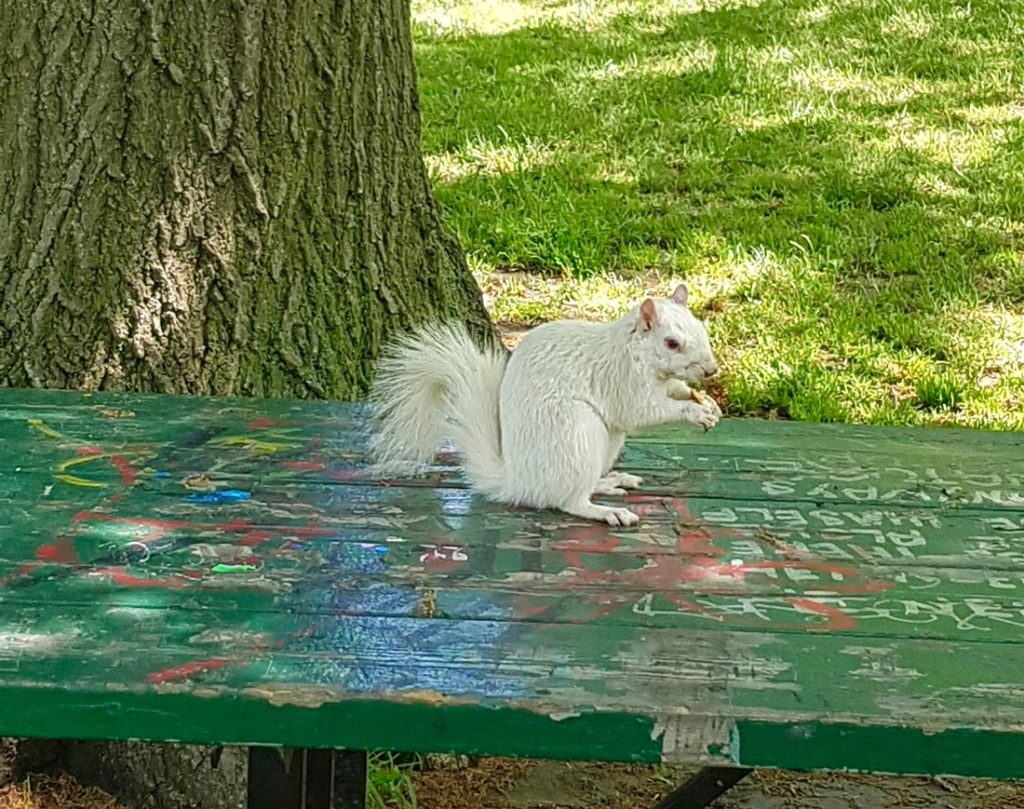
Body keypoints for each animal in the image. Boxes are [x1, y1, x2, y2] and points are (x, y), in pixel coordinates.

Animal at [368, 282, 720, 524]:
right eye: (672, 343)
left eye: (701, 327)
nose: (711, 370)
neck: (637, 352)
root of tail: (518, 484)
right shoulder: (622, 380)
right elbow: (642, 412)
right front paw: (694, 411)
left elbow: (674, 388)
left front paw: (703, 399)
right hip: (579, 433)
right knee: (568, 501)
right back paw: (605, 511)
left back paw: (610, 481)